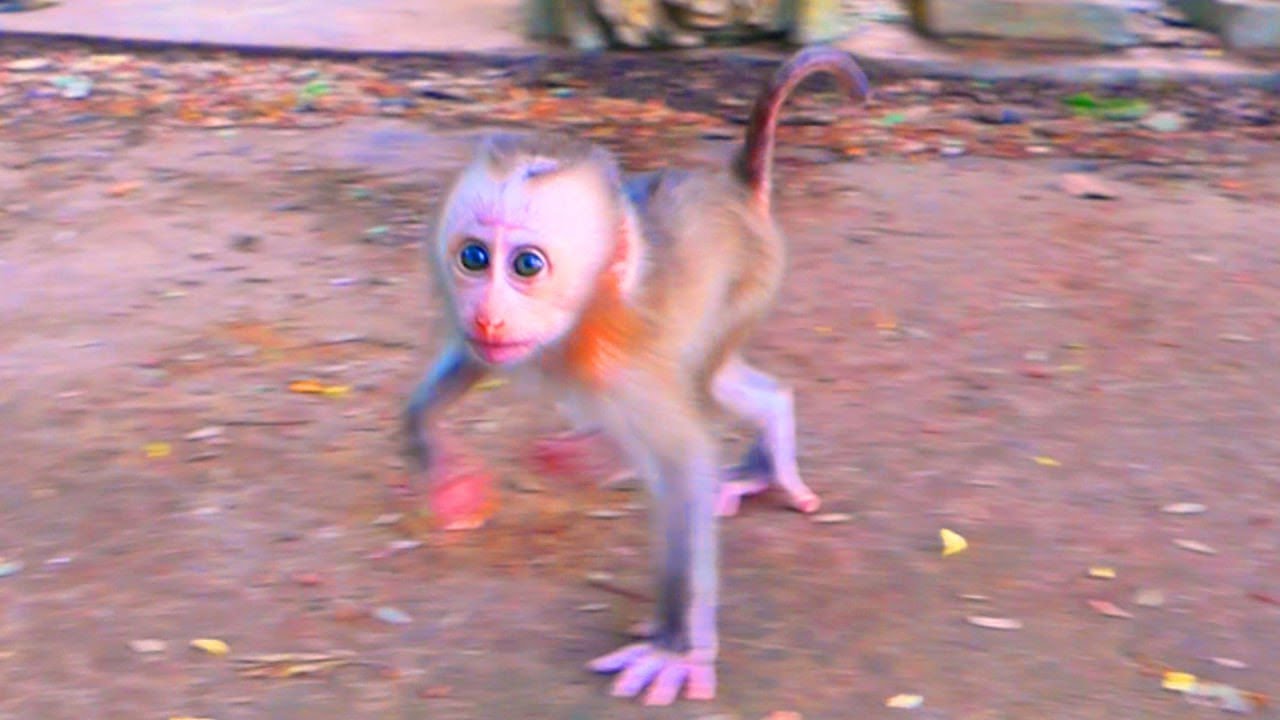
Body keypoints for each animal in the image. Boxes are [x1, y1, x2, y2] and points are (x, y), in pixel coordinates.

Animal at [402, 46, 869, 705]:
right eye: (473, 257)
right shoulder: (497, 345)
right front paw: (438, 460)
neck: (580, 325)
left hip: (754, 277)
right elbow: (468, 362)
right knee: (729, 384)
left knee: (705, 378)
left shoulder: (629, 370)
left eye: (526, 265)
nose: (488, 313)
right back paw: (762, 444)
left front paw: (675, 646)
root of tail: (735, 188)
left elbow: (683, 468)